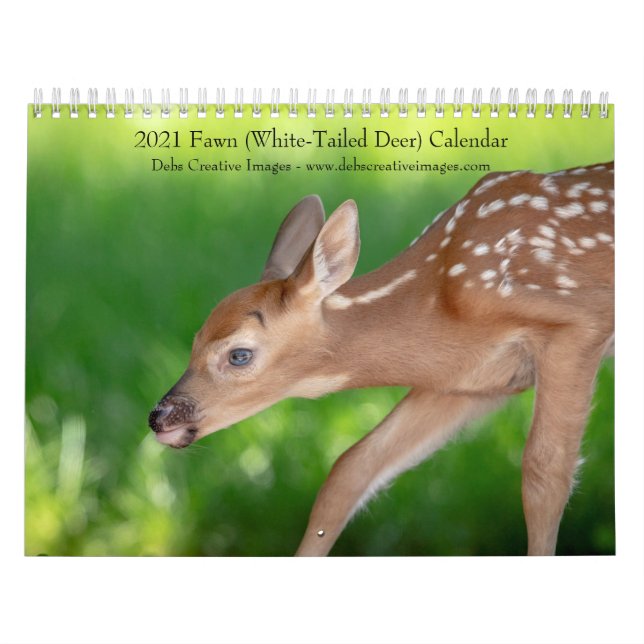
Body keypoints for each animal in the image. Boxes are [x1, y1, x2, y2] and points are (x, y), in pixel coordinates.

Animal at [148, 161, 614, 556]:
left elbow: (544, 476)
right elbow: (350, 469)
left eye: (239, 354)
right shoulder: (478, 378)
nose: (159, 417)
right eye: (195, 339)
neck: (443, 300)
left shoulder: (580, 323)